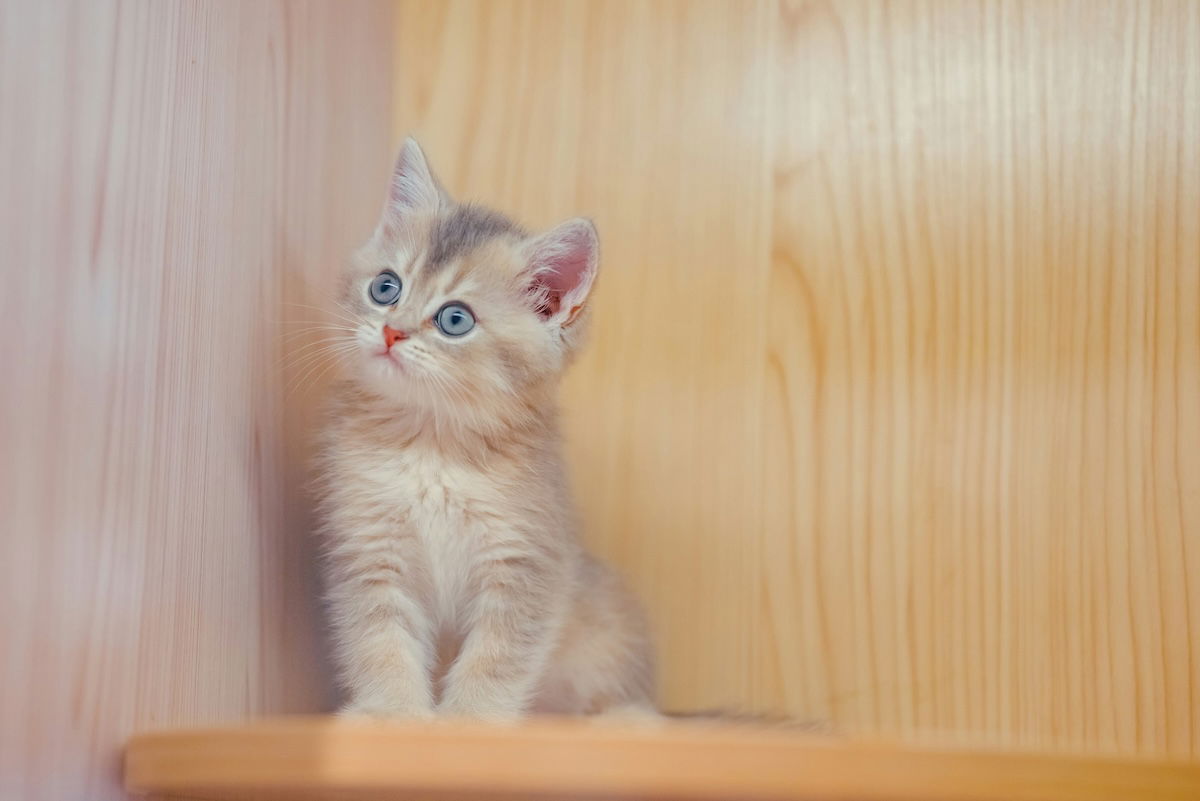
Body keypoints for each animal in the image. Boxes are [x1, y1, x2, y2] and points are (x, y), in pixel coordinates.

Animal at [314, 136, 657, 719]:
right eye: (386, 288)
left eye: (455, 320)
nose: (390, 331)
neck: (433, 445)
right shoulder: (369, 551)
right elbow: (380, 642)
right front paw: (392, 714)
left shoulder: (527, 565)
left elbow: (497, 656)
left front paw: (468, 719)